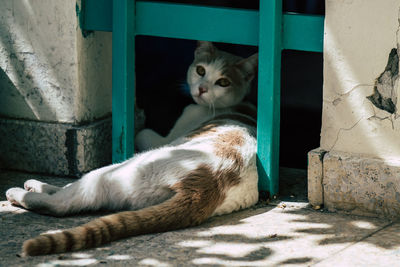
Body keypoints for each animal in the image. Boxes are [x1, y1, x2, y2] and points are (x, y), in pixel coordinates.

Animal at [5, 41, 260, 258]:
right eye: (200, 70)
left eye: (223, 82)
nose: (202, 89)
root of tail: (206, 186)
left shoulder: (166, 134)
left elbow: (141, 132)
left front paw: (137, 114)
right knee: (68, 192)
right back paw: (35, 186)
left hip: (120, 169)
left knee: (64, 202)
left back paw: (21, 193)